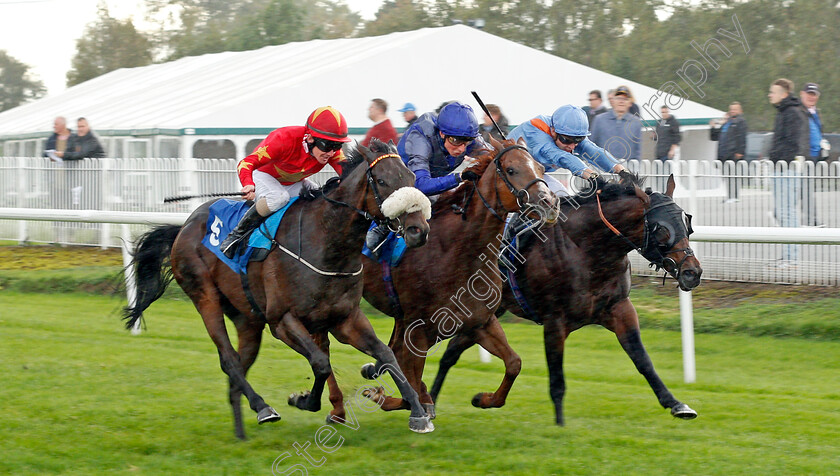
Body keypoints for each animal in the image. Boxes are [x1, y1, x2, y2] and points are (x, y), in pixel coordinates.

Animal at [125, 140, 440, 438]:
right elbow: (321, 362)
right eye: (383, 181)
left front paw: (418, 413)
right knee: (228, 359)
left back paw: (241, 431)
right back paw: (263, 407)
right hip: (205, 297)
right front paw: (304, 400)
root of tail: (184, 225)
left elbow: (386, 356)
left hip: (247, 318)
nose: (419, 230)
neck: (327, 242)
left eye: (412, 177)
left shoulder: (345, 319)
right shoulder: (283, 320)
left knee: (240, 364)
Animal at [346, 136, 556, 418]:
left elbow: (514, 362)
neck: (460, 253)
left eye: (541, 168)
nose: (550, 203)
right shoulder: (420, 327)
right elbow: (413, 379)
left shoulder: (481, 321)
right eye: (512, 170)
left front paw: (483, 398)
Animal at [426, 174, 704, 424]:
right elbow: (557, 380)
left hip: (489, 312)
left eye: (687, 224)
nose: (692, 272)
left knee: (452, 351)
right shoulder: (554, 320)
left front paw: (677, 405)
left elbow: (643, 360)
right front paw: (560, 427)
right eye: (662, 229)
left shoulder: (619, 308)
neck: (588, 250)